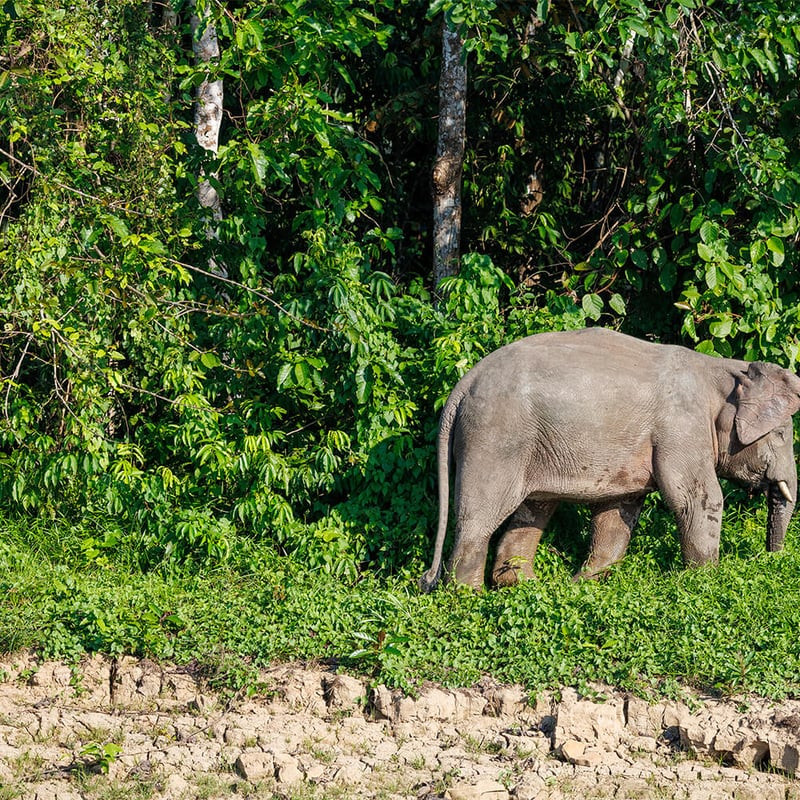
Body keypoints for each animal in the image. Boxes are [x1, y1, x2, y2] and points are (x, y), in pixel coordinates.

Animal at [419, 327, 800, 592]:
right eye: (782, 434)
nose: (770, 557)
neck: (721, 369)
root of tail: (462, 386)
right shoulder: (682, 428)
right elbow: (698, 499)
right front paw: (703, 581)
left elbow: (619, 512)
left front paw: (582, 584)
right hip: (496, 438)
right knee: (480, 515)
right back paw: (468, 595)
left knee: (534, 507)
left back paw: (524, 585)